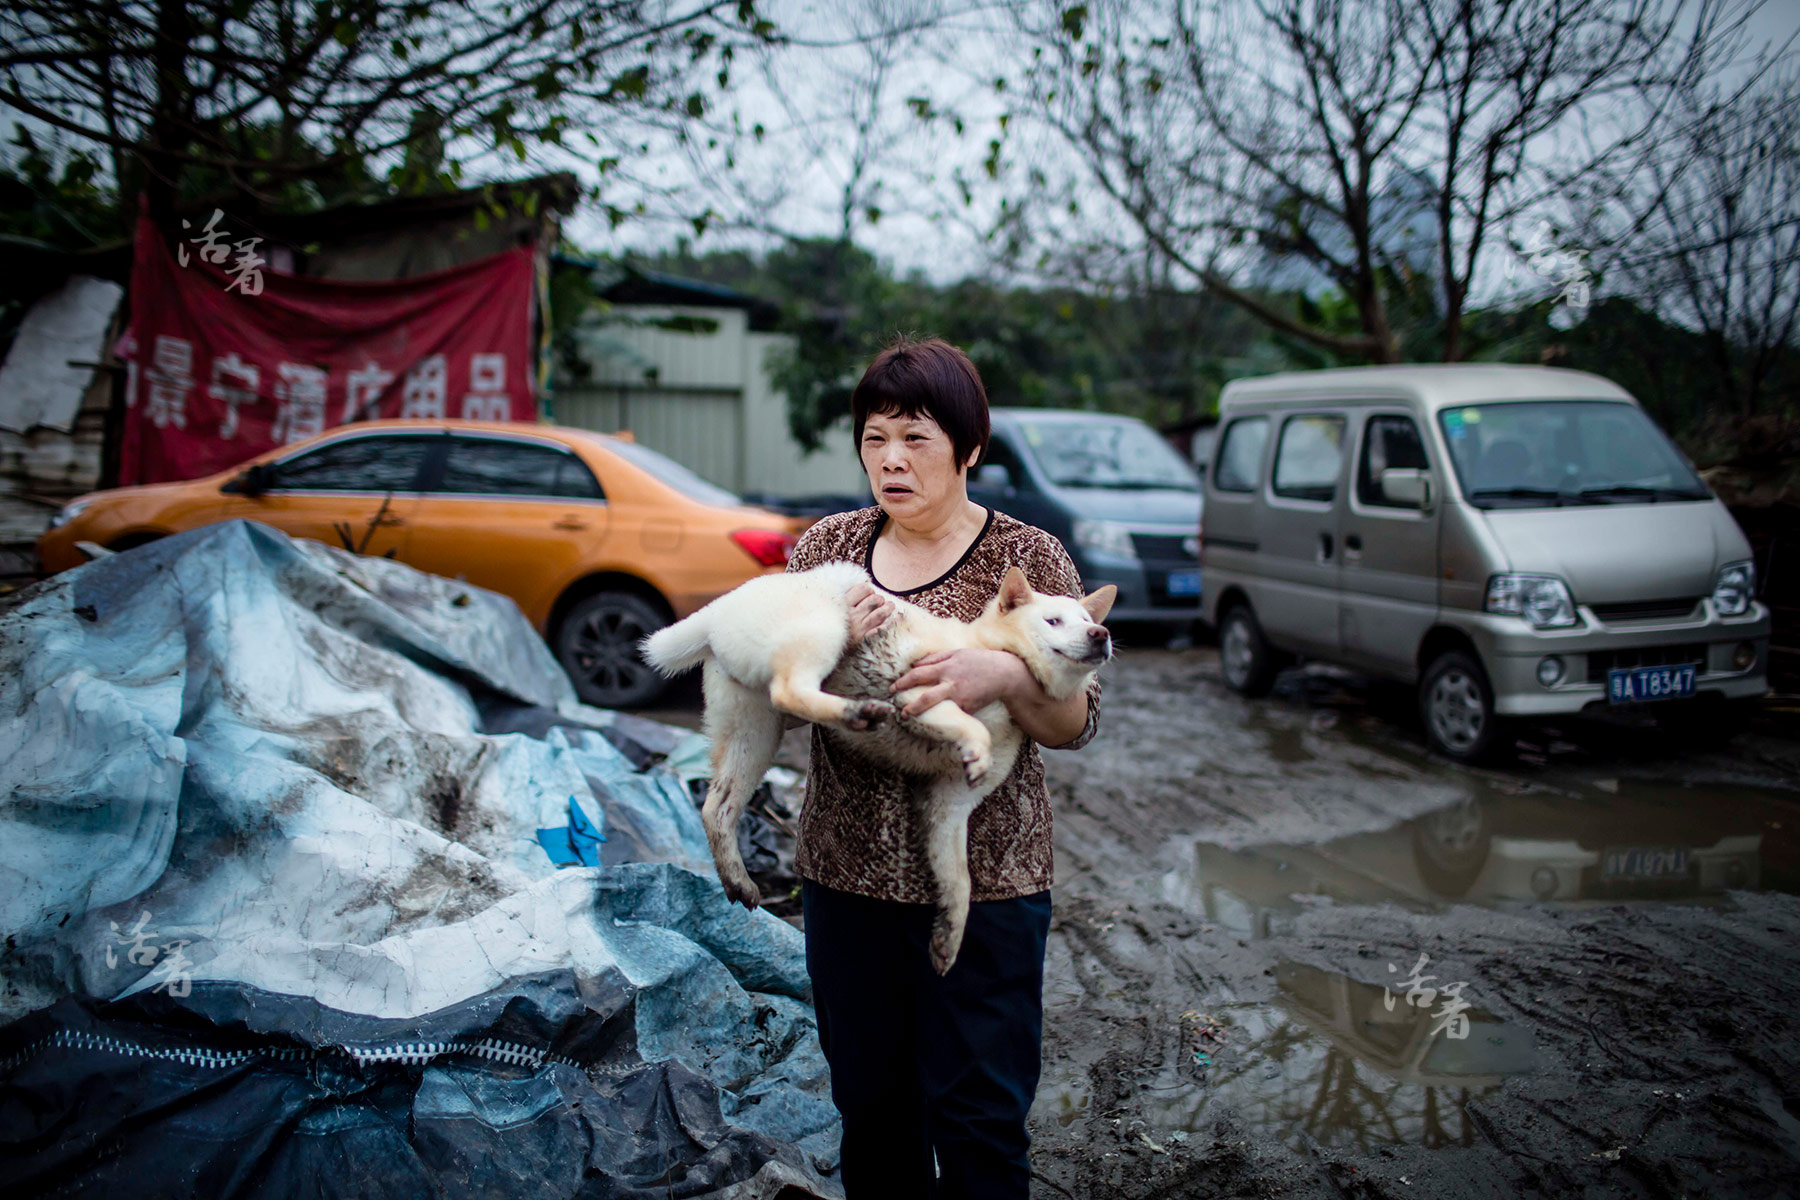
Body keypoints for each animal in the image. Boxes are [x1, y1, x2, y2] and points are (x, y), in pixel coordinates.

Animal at [633, 564, 1108, 978]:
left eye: (1087, 619)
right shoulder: (921, 694)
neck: (991, 651)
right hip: (824, 635)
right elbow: (971, 727)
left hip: (754, 737)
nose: (1101, 634)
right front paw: (976, 745)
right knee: (792, 690)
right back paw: (855, 711)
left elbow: (960, 882)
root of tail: (718, 611)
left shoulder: (950, 804)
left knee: (716, 807)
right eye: (1053, 620)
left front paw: (949, 939)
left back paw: (737, 879)